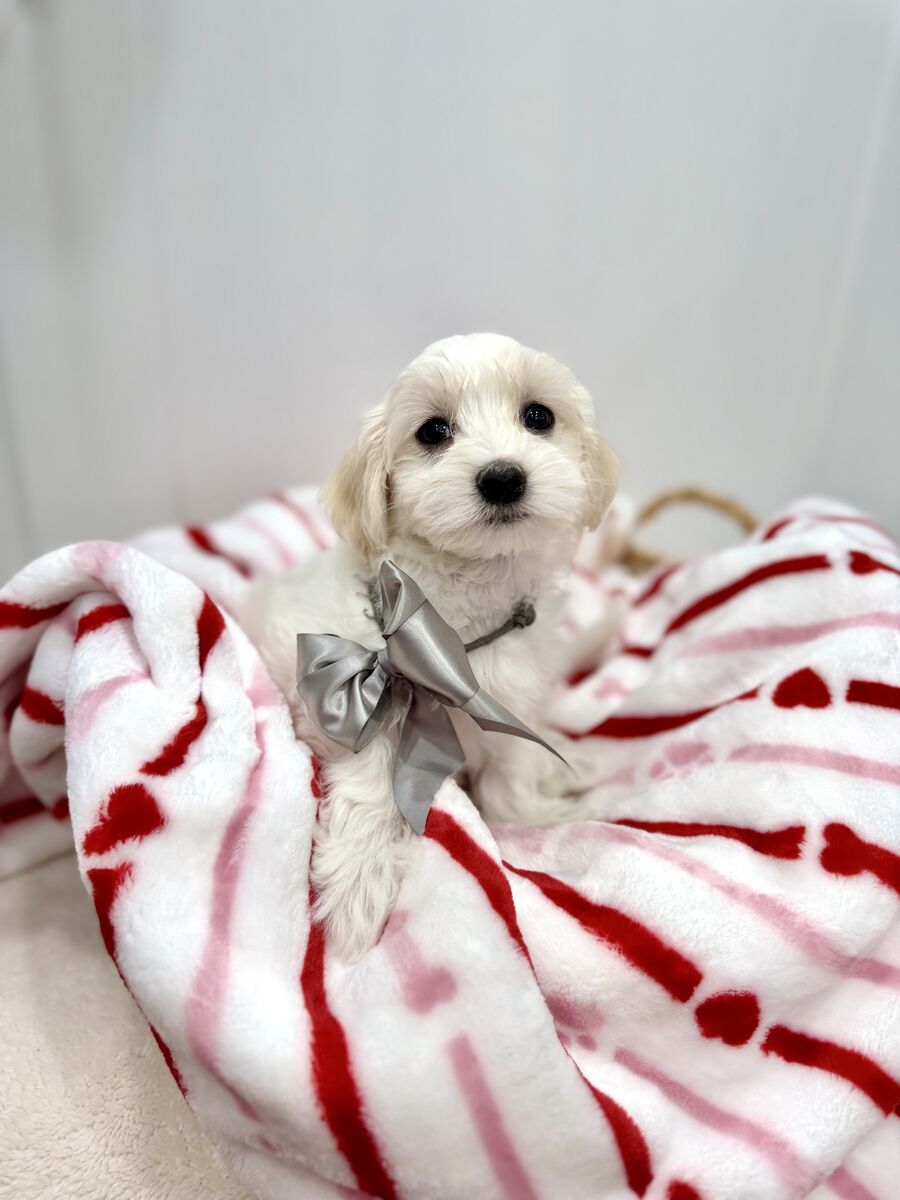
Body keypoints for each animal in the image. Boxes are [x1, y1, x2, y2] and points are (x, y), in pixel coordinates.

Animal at [243, 333, 618, 959]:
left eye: (539, 416)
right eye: (433, 431)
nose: (502, 477)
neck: (451, 631)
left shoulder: (515, 696)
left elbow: (512, 773)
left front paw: (535, 812)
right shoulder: (346, 695)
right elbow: (370, 779)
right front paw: (358, 890)